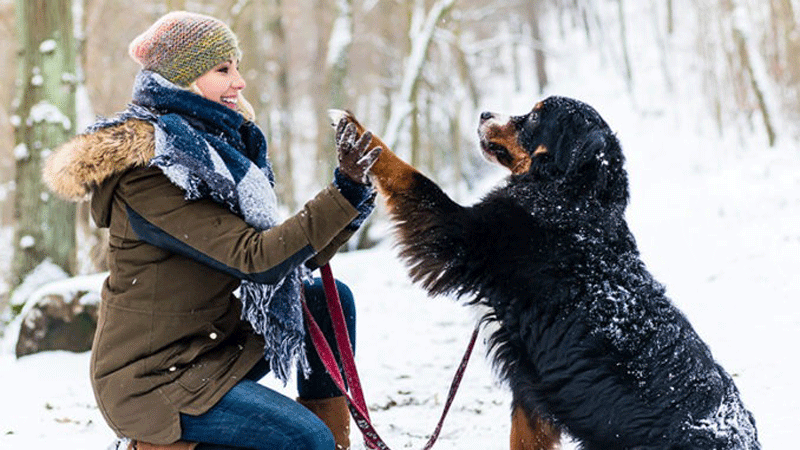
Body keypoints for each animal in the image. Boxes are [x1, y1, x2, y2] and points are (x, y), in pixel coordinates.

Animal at [332, 96, 764, 450]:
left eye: (536, 116)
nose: (484, 113)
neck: (570, 200)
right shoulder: (533, 387)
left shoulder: (459, 233)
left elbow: (407, 173)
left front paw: (355, 133)